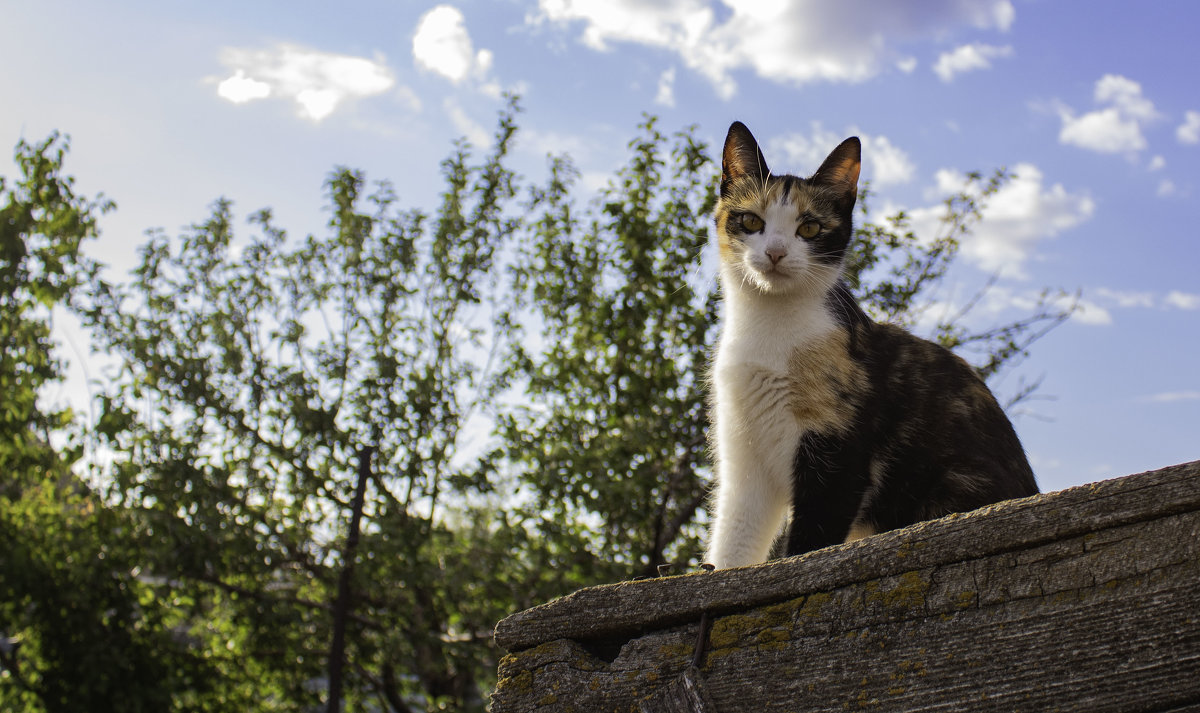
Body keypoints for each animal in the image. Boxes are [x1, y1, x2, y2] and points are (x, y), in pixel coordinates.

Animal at [705, 120, 1036, 566]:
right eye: (752, 221)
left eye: (809, 228)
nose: (775, 252)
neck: (769, 328)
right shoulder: (744, 454)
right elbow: (734, 540)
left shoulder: (837, 454)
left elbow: (813, 536)